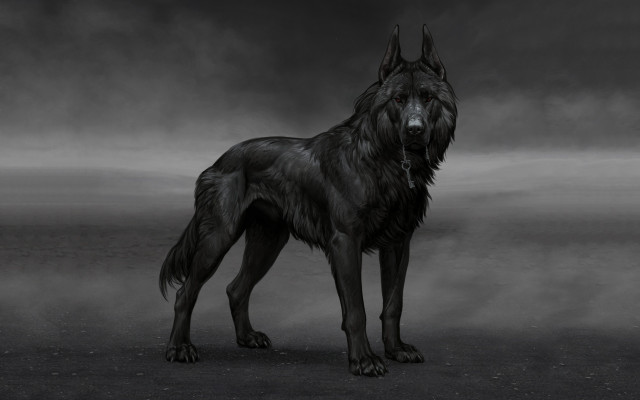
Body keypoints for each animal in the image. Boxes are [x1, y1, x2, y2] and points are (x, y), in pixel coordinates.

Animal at [159, 25, 457, 376]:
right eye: (398, 99)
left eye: (427, 98)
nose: (415, 130)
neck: (384, 161)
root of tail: (219, 161)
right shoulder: (345, 242)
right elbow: (357, 309)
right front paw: (364, 360)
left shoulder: (399, 243)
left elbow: (393, 303)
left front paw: (396, 350)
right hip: (219, 238)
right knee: (185, 292)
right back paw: (179, 348)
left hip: (268, 242)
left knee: (236, 288)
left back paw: (247, 338)